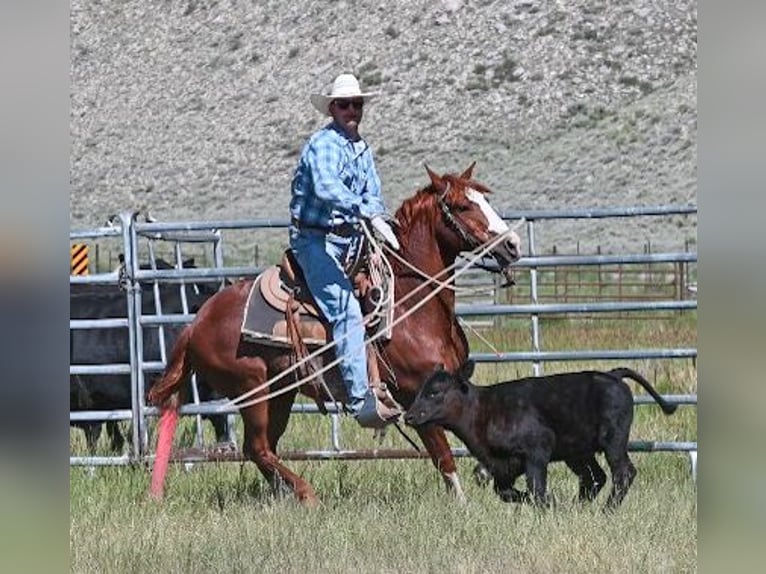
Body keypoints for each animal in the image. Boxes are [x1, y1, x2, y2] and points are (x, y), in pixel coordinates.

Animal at [148, 163, 521, 506]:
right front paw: (462, 501)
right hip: (254, 391)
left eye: (485, 200)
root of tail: (196, 323)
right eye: (462, 206)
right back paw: (306, 494)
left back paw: (284, 496)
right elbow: (442, 454)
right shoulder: (415, 394)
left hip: (281, 394)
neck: (411, 303)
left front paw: (487, 469)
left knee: (265, 448)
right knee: (256, 447)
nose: (513, 245)